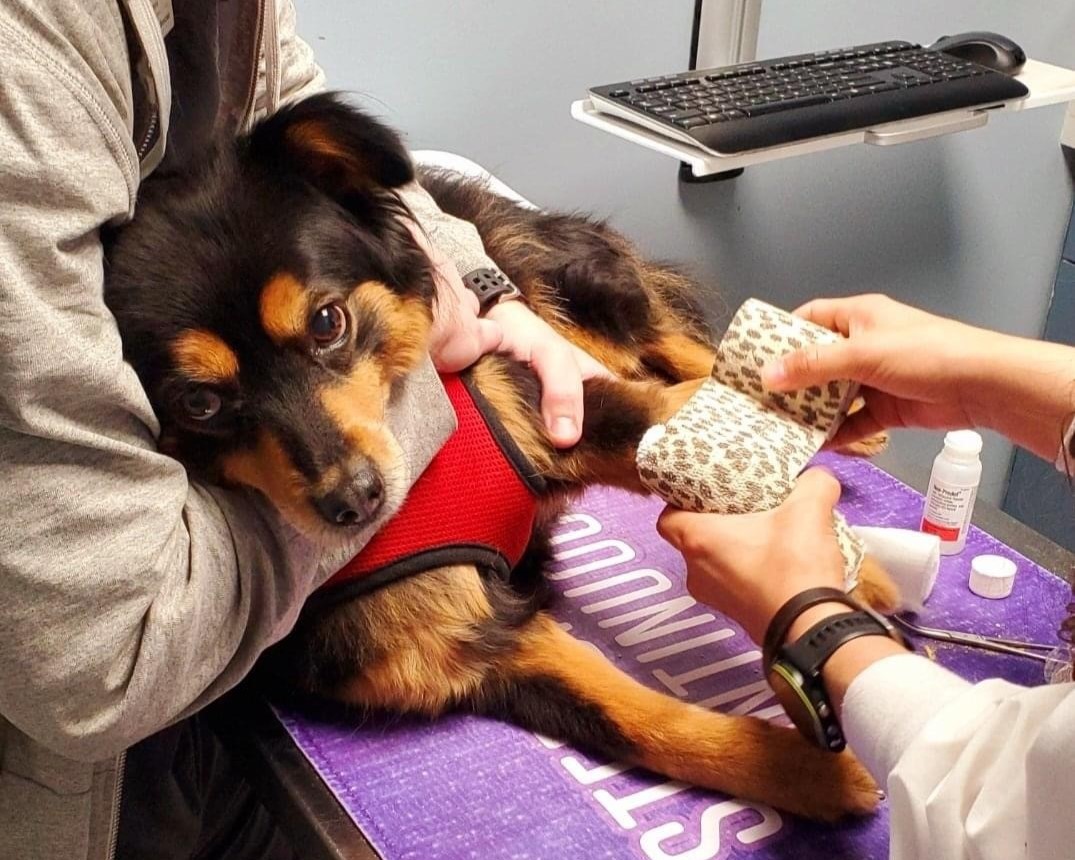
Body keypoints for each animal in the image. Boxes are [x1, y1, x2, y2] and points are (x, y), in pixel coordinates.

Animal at [104, 92, 894, 821]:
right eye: (199, 403)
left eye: (327, 321)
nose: (355, 500)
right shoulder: (470, 654)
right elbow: (639, 723)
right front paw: (813, 775)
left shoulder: (552, 412)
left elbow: (673, 432)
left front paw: (858, 570)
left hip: (570, 289)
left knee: (676, 347)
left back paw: (850, 411)